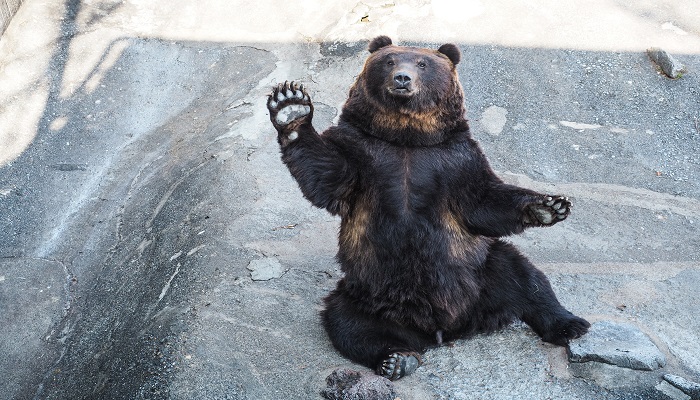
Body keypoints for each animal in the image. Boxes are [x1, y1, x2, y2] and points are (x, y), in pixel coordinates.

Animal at [266, 36, 590, 381]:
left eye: (423, 63)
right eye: (390, 60)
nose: (402, 78)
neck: (407, 139)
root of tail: (444, 329)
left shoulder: (455, 160)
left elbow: (483, 202)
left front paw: (549, 206)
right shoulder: (361, 152)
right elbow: (327, 174)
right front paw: (290, 107)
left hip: (479, 272)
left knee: (522, 276)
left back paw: (570, 324)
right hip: (365, 293)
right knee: (348, 323)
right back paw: (396, 358)